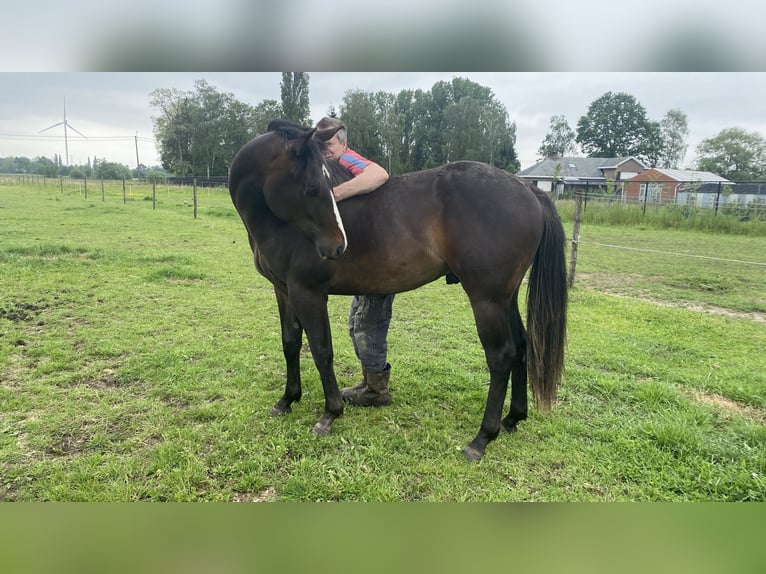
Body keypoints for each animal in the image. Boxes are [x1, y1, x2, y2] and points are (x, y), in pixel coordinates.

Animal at [231, 120, 568, 464]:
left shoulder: (308, 294)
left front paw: (329, 414)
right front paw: (287, 400)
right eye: (313, 188)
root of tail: (527, 188)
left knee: (501, 356)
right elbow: (290, 344)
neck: (279, 225)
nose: (338, 246)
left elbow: (322, 351)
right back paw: (512, 418)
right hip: (505, 298)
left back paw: (482, 438)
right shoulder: (283, 291)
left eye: (324, 185)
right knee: (522, 346)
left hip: (487, 300)